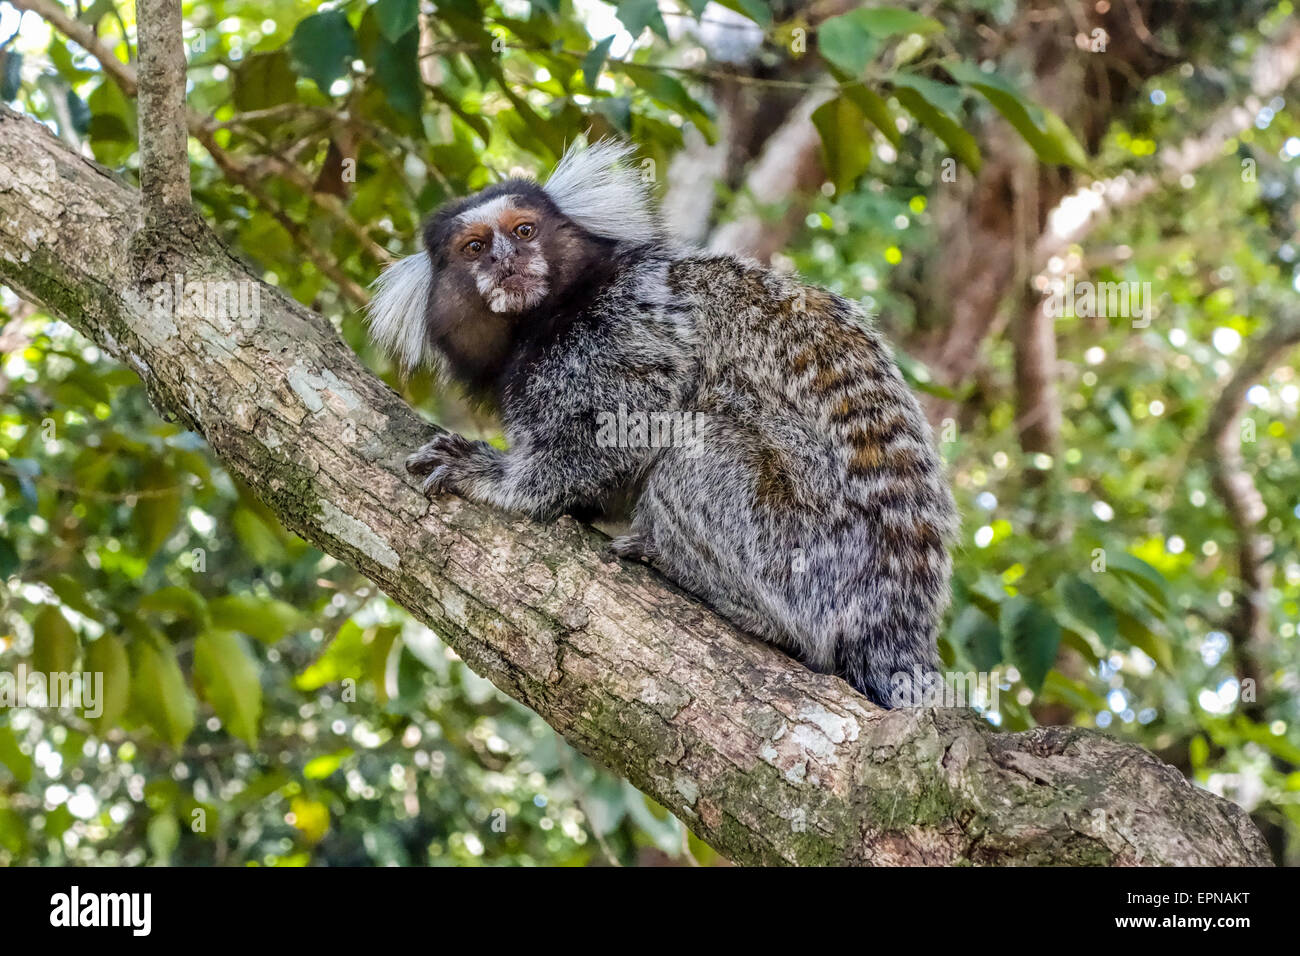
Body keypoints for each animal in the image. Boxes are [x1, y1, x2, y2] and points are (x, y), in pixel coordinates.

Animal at [366, 143, 956, 712]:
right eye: (474, 247)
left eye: (523, 231)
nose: (507, 260)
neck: (548, 315)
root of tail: (897, 617)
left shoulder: (617, 328)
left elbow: (619, 428)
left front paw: (494, 479)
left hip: (806, 553)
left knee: (700, 445)